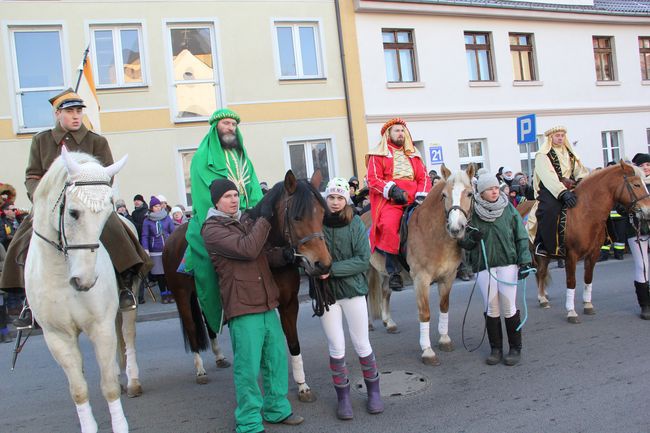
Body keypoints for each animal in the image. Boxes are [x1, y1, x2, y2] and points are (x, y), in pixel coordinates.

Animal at [26, 147, 130, 430]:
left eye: (107, 214)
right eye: (73, 212)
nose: (85, 280)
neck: (63, 275)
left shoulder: (101, 326)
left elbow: (108, 385)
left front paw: (120, 424)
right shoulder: (56, 336)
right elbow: (78, 389)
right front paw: (89, 426)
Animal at [162, 170, 330, 400]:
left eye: (322, 213)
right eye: (297, 217)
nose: (323, 264)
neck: (268, 252)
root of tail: (172, 239)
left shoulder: (289, 304)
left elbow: (293, 343)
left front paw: (302, 385)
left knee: (209, 323)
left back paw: (219, 356)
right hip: (182, 296)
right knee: (191, 327)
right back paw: (200, 370)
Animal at [364, 165, 476, 364]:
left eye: (469, 193)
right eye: (444, 195)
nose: (456, 228)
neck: (434, 235)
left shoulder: (448, 277)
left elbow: (444, 306)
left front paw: (444, 339)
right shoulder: (421, 280)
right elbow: (425, 313)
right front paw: (427, 350)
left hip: (385, 271)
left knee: (385, 290)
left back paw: (388, 322)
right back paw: (368, 324)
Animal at [528, 160, 648, 322]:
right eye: (636, 184)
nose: (648, 211)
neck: (586, 213)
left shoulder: (593, 253)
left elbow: (588, 278)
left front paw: (587, 305)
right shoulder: (571, 256)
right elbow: (571, 281)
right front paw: (571, 311)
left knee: (541, 272)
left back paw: (544, 296)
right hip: (540, 253)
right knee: (540, 272)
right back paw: (542, 299)